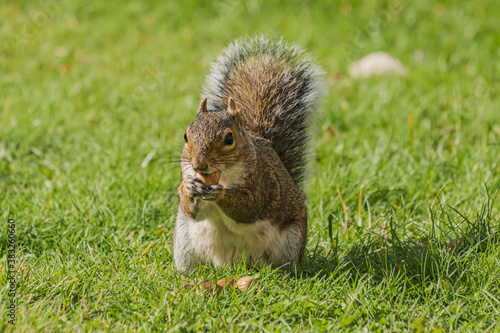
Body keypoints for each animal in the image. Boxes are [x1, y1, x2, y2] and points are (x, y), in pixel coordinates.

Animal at [175, 35, 324, 270]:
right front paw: (189, 187)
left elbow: (249, 207)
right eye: (186, 136)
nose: (199, 165)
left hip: (293, 238)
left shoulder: (260, 181)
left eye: (229, 138)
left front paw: (220, 193)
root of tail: (230, 265)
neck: (222, 174)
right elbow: (192, 209)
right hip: (183, 243)